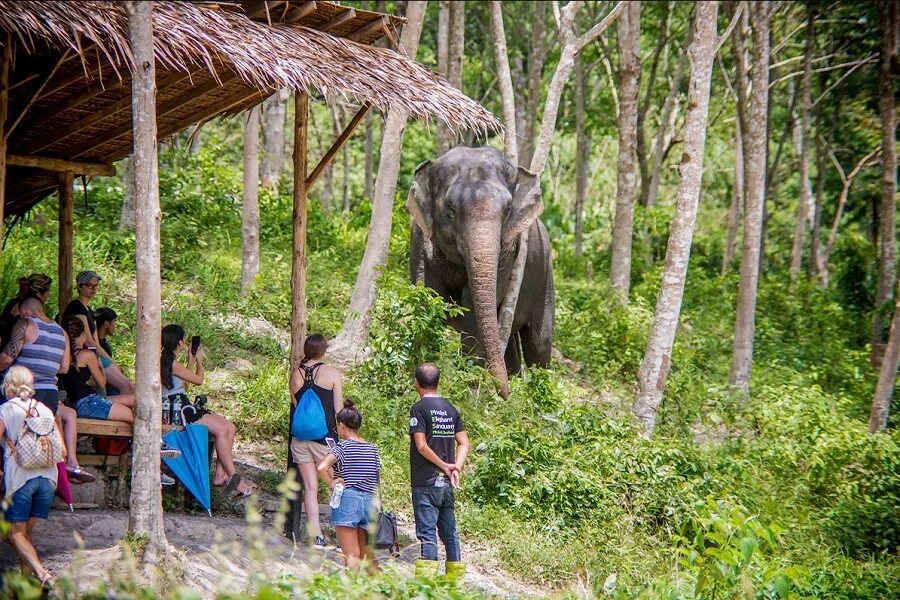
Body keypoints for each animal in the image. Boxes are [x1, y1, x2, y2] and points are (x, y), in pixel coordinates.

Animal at [408, 146, 556, 398]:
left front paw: (468, 390)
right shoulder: (419, 237)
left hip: (545, 276)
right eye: (450, 208)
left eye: (507, 210)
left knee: (539, 342)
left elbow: (472, 310)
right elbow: (428, 300)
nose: (504, 394)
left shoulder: (508, 252)